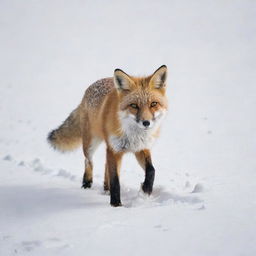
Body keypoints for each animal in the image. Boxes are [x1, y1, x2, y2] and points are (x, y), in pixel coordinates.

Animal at [47, 65, 168, 207]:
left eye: (153, 104)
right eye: (134, 105)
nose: (146, 123)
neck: (133, 135)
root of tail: (89, 89)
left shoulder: (140, 148)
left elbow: (151, 170)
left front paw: (145, 192)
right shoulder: (114, 150)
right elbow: (115, 181)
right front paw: (116, 205)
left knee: (105, 166)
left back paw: (106, 189)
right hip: (91, 144)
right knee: (89, 161)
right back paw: (87, 183)